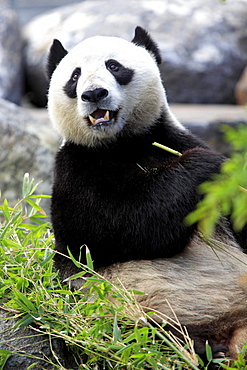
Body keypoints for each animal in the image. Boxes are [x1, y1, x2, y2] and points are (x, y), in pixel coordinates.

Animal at [47, 27, 247, 366]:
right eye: (75, 76)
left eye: (114, 66)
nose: (94, 94)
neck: (121, 144)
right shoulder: (74, 169)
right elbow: (119, 226)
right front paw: (207, 165)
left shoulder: (168, 137)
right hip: (121, 316)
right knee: (151, 338)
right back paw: (205, 350)